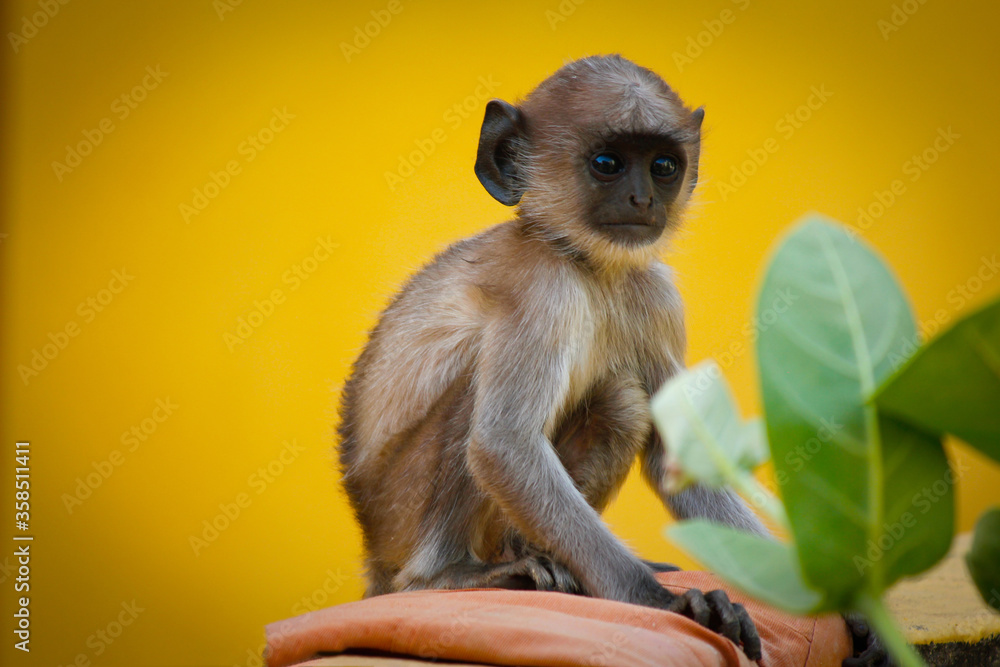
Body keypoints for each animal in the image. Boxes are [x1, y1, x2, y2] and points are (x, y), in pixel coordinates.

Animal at [337, 55, 883, 665]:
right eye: (607, 164)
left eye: (663, 167)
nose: (643, 200)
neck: (587, 265)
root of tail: (373, 551)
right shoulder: (540, 288)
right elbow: (503, 444)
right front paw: (669, 604)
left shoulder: (656, 297)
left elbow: (677, 457)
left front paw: (844, 607)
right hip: (402, 513)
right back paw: (443, 577)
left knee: (621, 402)